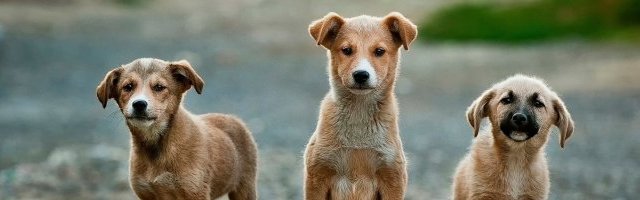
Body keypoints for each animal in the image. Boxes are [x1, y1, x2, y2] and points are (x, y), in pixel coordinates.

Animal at [96, 58, 256, 200]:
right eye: (128, 87)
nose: (139, 104)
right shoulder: (146, 194)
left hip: (245, 188)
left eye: (159, 87)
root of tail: (232, 118)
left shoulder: (195, 193)